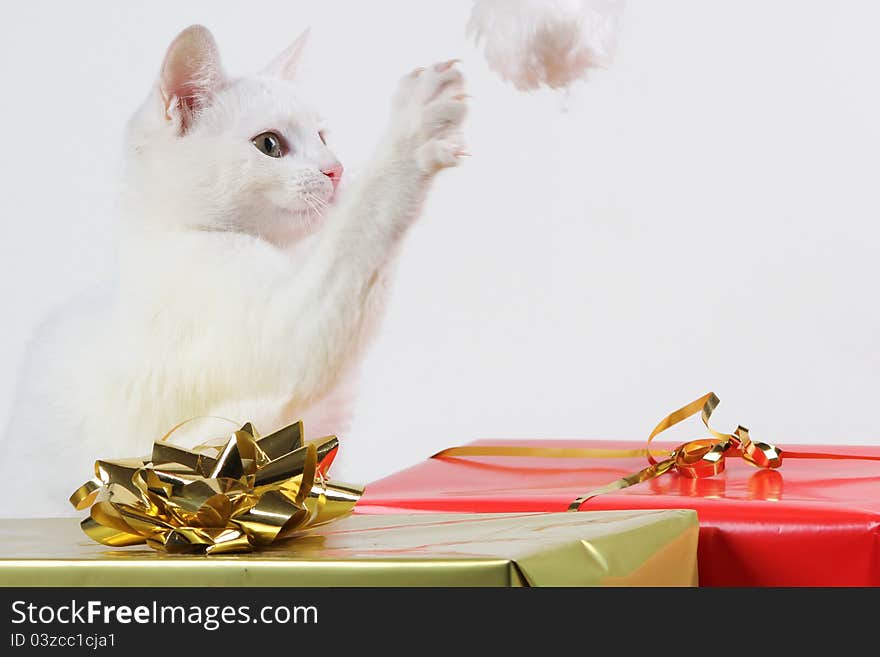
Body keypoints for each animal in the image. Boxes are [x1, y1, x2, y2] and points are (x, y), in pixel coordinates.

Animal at [1, 25, 468, 516]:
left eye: (322, 136)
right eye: (269, 145)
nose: (336, 170)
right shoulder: (281, 336)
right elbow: (361, 227)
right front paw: (416, 127)